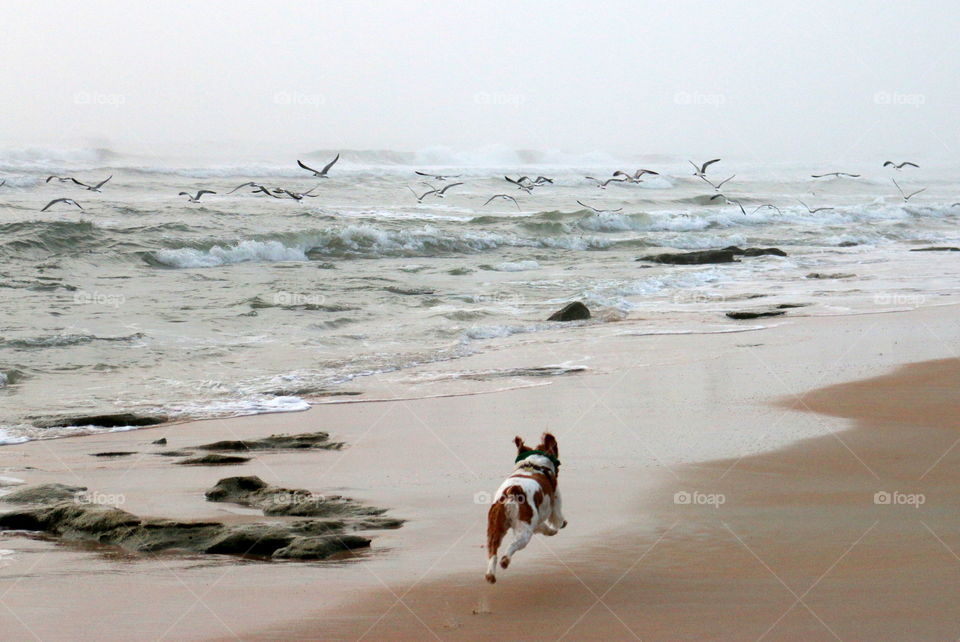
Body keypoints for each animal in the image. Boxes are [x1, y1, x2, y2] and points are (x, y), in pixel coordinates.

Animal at [484, 432, 568, 584]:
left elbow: (543, 526)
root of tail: (512, 491)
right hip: (524, 530)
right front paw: (560, 525)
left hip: (494, 529)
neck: (534, 464)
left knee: (493, 552)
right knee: (512, 546)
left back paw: (490, 575)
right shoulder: (556, 497)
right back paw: (505, 561)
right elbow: (557, 516)